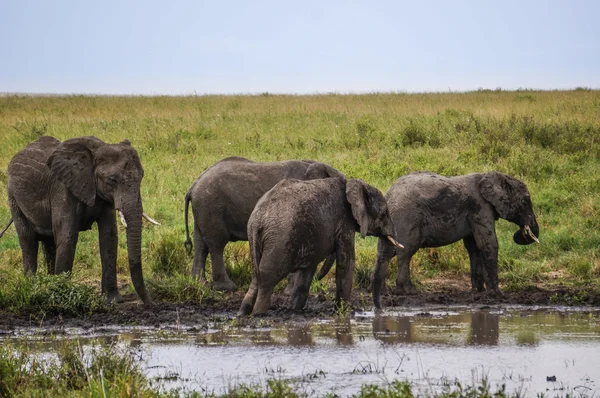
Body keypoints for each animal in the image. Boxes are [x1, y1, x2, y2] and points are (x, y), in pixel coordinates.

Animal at [1, 135, 157, 304]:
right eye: (112, 180)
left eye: (141, 176)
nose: (150, 303)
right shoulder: (62, 188)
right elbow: (68, 237)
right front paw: (61, 296)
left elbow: (109, 237)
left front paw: (112, 301)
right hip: (13, 197)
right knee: (28, 240)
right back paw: (33, 289)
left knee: (49, 243)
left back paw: (47, 285)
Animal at [183, 157, 344, 290]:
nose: (317, 280)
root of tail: (193, 186)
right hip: (212, 206)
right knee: (217, 244)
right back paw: (227, 288)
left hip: (203, 207)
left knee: (201, 244)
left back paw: (200, 284)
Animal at [239, 179, 404, 316]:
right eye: (384, 213)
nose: (380, 310)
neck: (356, 185)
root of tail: (257, 220)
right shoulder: (345, 222)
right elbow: (346, 263)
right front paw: (344, 312)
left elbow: (308, 270)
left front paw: (294, 310)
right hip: (279, 240)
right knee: (268, 277)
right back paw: (258, 314)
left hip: (261, 239)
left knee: (257, 276)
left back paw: (243, 313)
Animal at [370, 169, 540, 310]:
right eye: (525, 202)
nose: (524, 231)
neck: (493, 175)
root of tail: (389, 194)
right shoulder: (480, 207)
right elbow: (488, 243)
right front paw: (496, 295)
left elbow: (473, 247)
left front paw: (478, 292)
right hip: (407, 218)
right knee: (406, 252)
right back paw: (408, 292)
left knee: (385, 253)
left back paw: (381, 291)